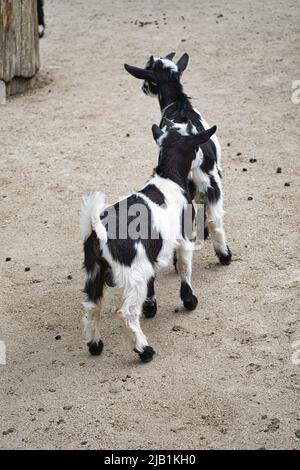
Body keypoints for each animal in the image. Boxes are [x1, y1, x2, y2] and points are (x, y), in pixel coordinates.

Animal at [79, 120, 216, 360]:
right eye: (197, 144)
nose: (203, 157)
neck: (168, 178)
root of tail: (98, 230)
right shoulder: (183, 239)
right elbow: (184, 267)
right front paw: (189, 300)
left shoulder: (149, 257)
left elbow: (153, 278)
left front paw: (151, 306)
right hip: (132, 274)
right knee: (127, 313)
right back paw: (144, 350)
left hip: (94, 270)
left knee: (91, 307)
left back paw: (95, 346)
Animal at [124, 52, 232, 266]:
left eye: (148, 78)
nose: (143, 88)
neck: (179, 104)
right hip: (212, 184)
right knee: (215, 219)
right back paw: (225, 256)